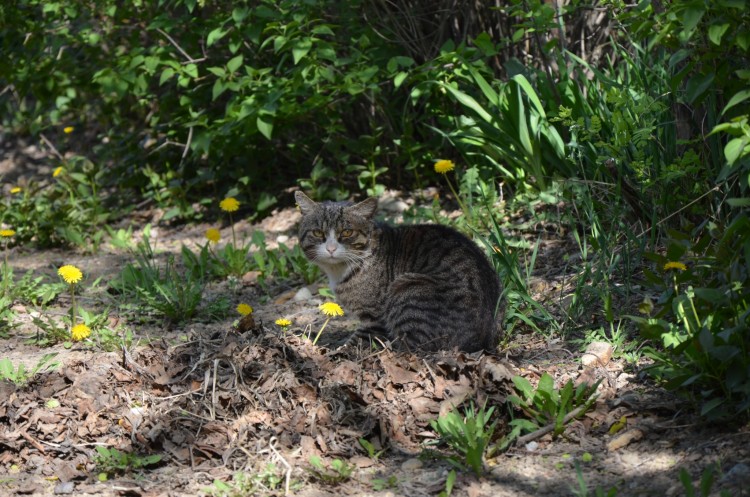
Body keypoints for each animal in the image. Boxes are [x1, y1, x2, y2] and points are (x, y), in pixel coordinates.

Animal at [296, 191, 502, 352]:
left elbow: (355, 344)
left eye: (347, 232)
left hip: (407, 289)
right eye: (317, 233)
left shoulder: (374, 319)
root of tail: (482, 343)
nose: (330, 248)